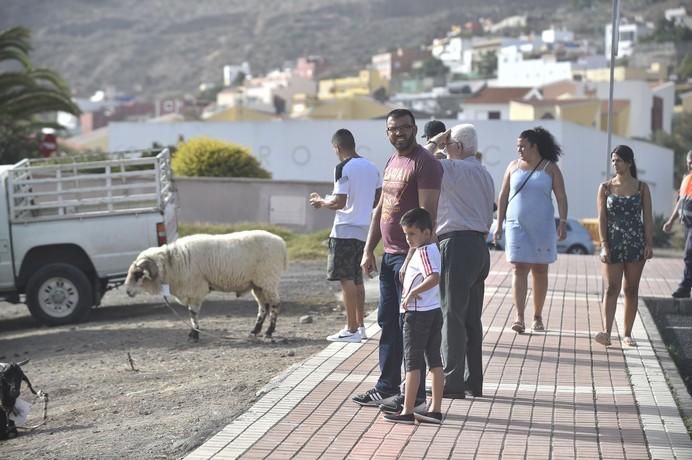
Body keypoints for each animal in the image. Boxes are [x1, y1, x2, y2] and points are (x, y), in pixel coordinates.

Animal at [123, 230, 286, 342]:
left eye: (137, 274)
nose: (127, 291)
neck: (171, 263)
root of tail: (281, 242)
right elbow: (191, 314)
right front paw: (192, 333)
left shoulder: (195, 290)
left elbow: (193, 314)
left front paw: (194, 335)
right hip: (257, 284)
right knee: (263, 307)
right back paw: (255, 331)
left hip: (268, 280)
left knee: (275, 304)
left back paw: (269, 332)